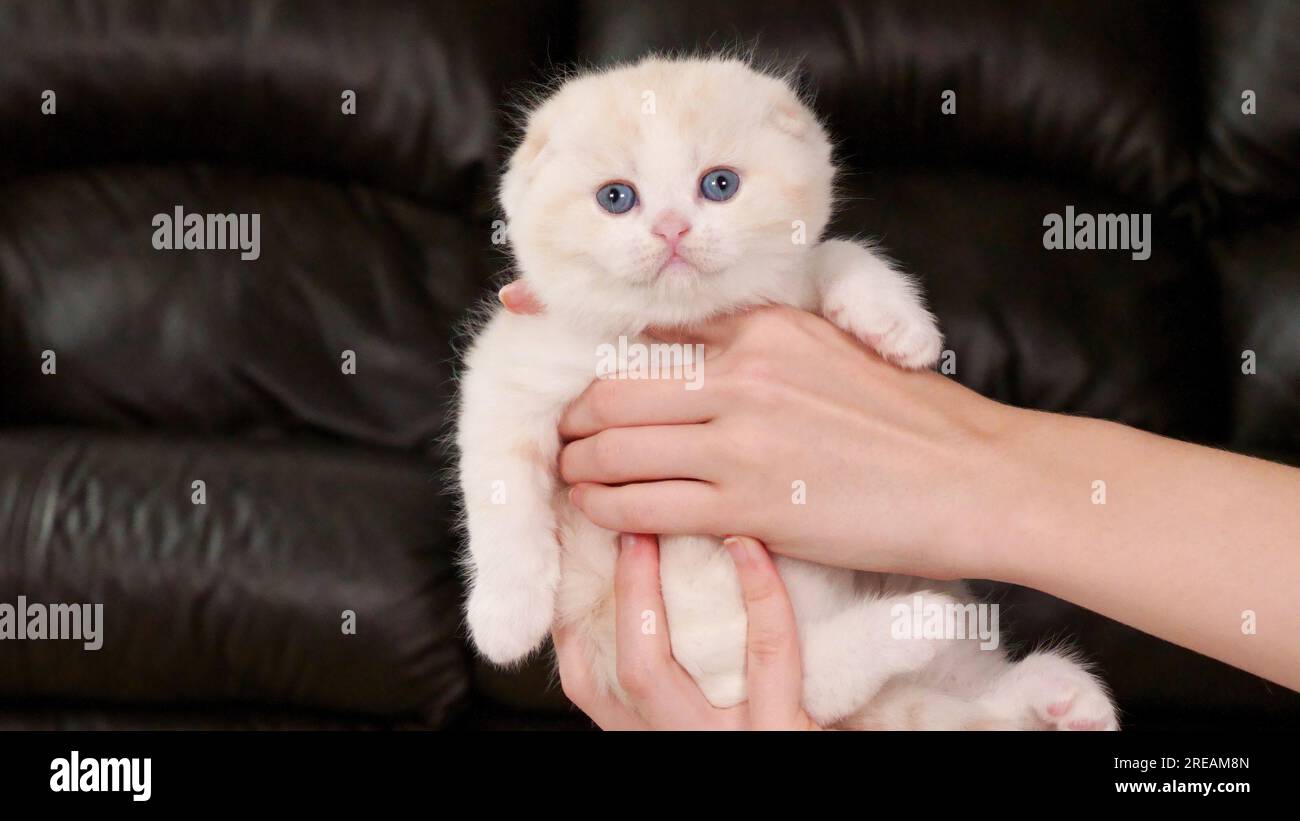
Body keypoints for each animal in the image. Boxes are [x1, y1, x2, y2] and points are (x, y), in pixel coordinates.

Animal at [457, 56, 1118, 732]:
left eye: (719, 185)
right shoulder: (514, 369)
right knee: (792, 677)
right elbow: (501, 495)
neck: (676, 334)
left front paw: (898, 324)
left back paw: (1051, 690)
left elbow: (834, 252)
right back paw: (926, 631)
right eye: (615, 198)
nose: (671, 228)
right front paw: (506, 615)